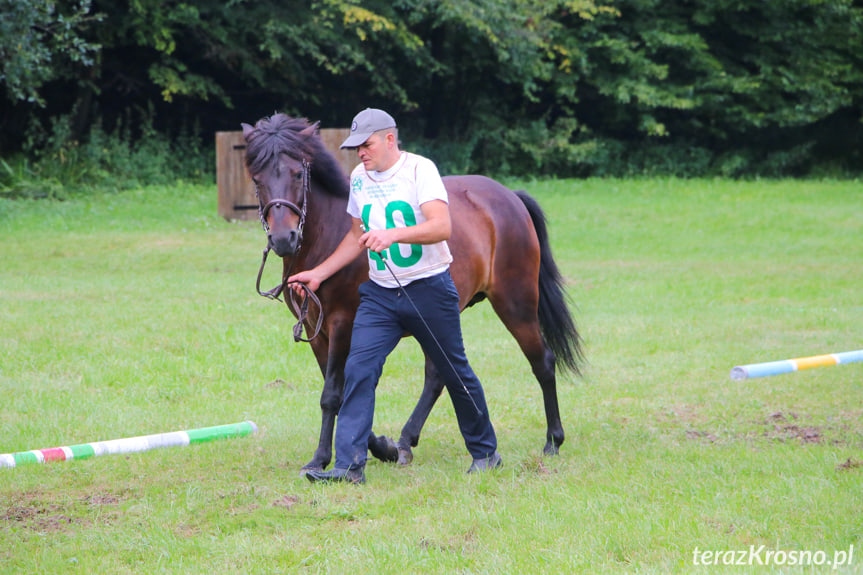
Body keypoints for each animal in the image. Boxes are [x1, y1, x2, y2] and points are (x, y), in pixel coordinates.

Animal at [240, 116, 584, 472]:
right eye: (257, 178)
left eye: (297, 173)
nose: (284, 238)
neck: (328, 238)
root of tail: (509, 198)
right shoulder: (315, 329)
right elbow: (341, 390)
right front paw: (379, 447)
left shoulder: (341, 325)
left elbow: (334, 394)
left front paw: (322, 458)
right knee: (438, 376)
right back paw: (405, 442)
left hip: (516, 305)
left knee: (542, 362)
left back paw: (552, 441)